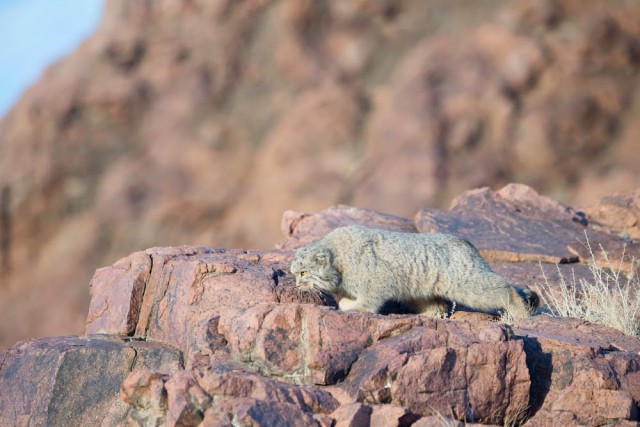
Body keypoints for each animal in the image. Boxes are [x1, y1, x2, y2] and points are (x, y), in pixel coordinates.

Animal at [292, 226, 540, 320]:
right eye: (294, 274)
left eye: (303, 273)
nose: (296, 285)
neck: (340, 261)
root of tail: (468, 245)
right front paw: (345, 303)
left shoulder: (377, 280)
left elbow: (369, 300)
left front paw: (356, 308)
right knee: (437, 306)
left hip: (468, 283)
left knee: (506, 289)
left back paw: (520, 313)